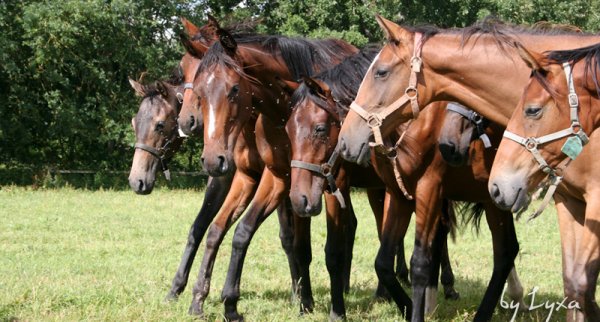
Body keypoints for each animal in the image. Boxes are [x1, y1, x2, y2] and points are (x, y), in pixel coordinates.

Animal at [178, 23, 358, 320]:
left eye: (234, 89)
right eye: (197, 85)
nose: (186, 121)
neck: (279, 109)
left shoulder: (305, 182)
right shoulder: (266, 177)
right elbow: (229, 230)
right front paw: (208, 300)